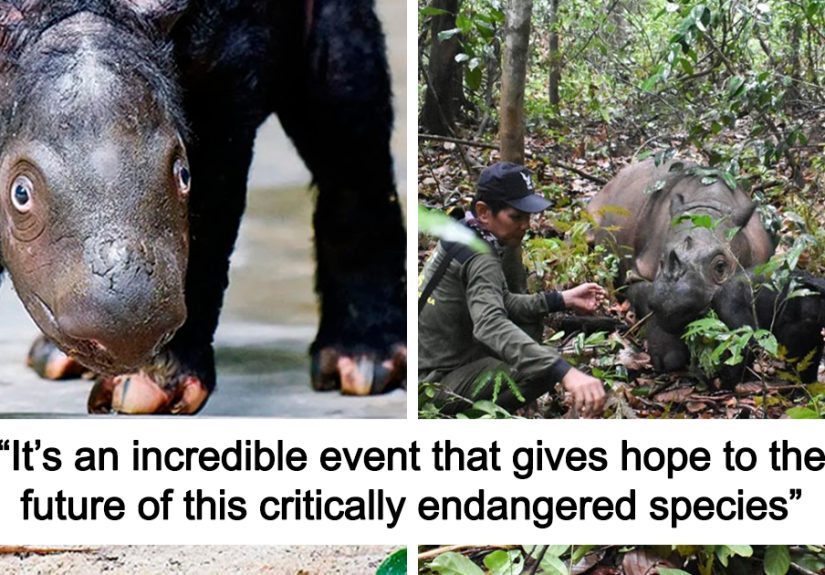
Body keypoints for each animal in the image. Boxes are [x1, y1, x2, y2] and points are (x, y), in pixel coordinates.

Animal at [588, 158, 775, 376]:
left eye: (720, 267)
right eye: (661, 261)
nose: (671, 305)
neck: (709, 204)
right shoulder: (639, 271)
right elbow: (644, 295)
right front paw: (669, 358)